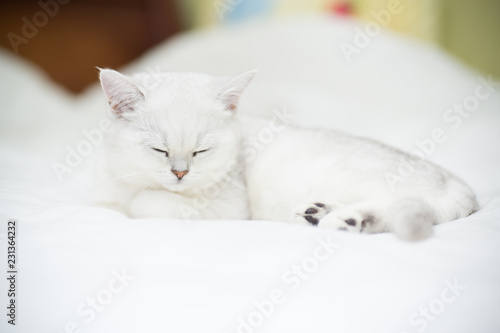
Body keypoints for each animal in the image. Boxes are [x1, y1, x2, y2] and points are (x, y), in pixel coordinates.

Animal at [92, 68, 478, 240]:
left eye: (201, 151)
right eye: (159, 149)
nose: (180, 173)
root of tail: (459, 186)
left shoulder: (229, 207)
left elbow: (145, 203)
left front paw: (135, 201)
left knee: (393, 208)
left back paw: (336, 219)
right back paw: (321, 214)